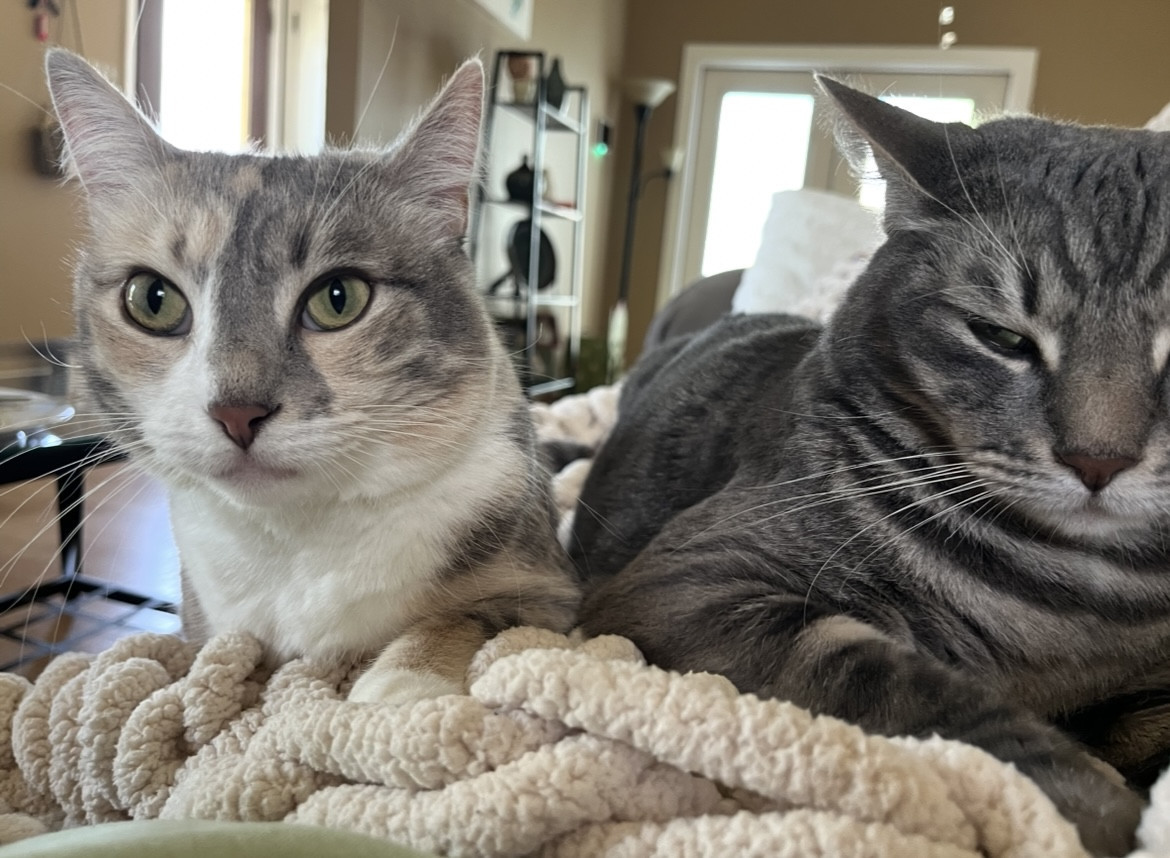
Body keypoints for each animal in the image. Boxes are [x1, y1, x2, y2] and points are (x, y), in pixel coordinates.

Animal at [44, 49, 578, 704]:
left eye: (339, 297)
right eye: (153, 299)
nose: (237, 412)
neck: (294, 538)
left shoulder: (549, 594)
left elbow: (465, 615)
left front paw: (400, 685)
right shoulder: (205, 623)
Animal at [569, 77, 1170, 856]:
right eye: (1001, 337)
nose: (1098, 460)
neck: (1084, 599)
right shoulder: (688, 581)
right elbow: (931, 696)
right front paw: (1108, 813)